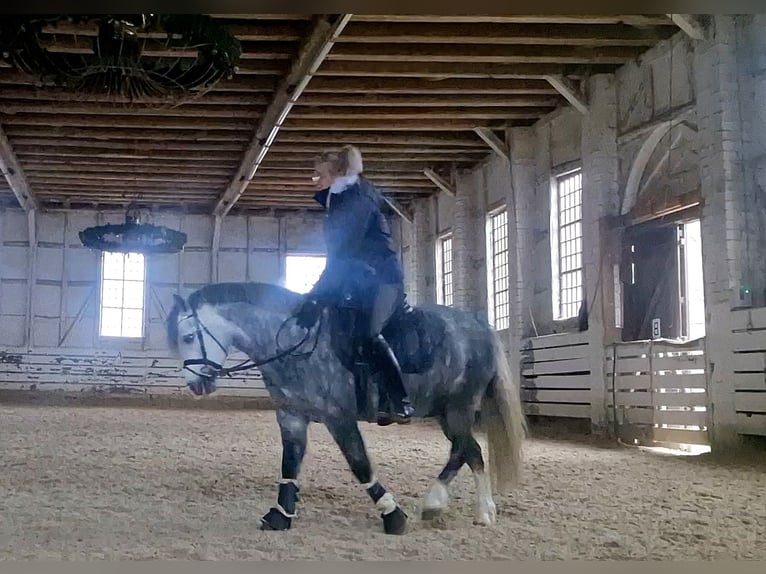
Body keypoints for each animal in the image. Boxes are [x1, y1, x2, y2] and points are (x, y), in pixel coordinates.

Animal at [165, 281, 527, 535]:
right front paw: (280, 516)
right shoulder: (291, 416)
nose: (196, 385)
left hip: (459, 407)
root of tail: (479, 324)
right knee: (464, 451)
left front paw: (393, 516)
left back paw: (471, 509)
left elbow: (360, 464)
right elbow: (289, 465)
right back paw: (447, 506)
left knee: (469, 451)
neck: (295, 342)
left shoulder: (338, 418)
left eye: (187, 336)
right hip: (444, 411)